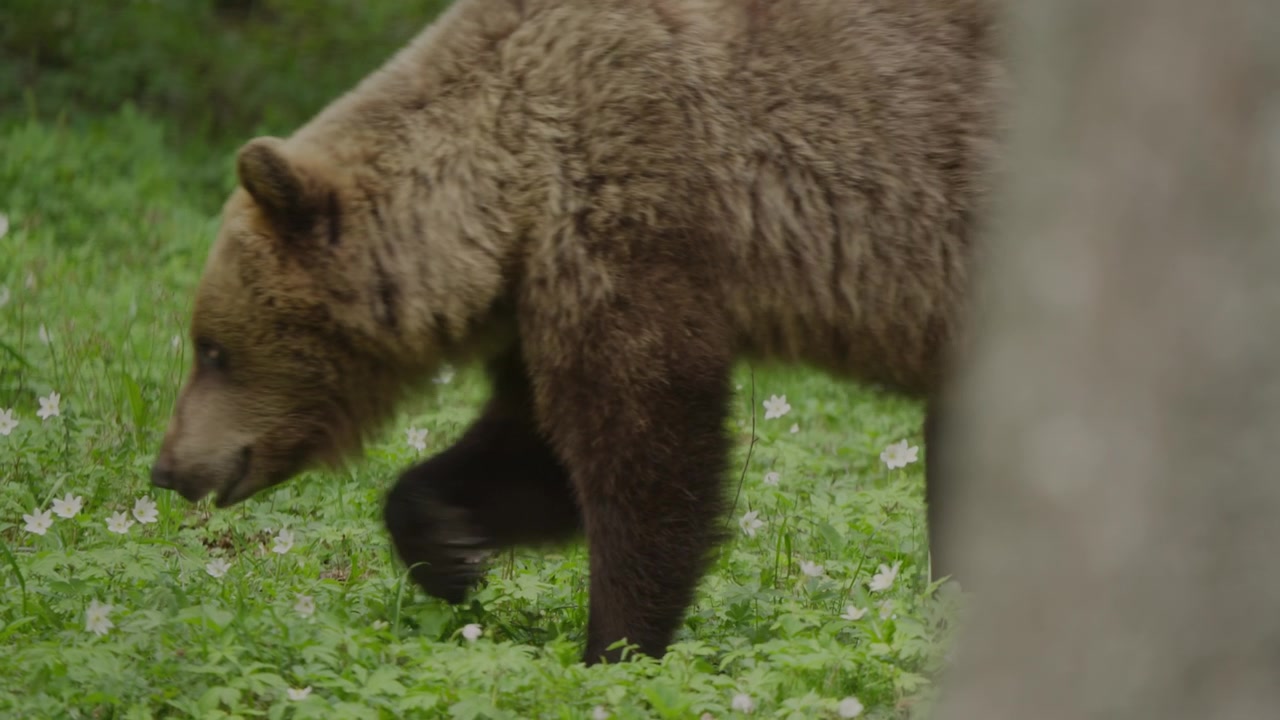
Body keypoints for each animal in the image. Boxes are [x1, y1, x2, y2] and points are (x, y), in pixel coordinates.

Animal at [149, 0, 1005, 665]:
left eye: (213, 348)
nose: (169, 468)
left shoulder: (633, 215)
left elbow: (645, 451)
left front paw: (615, 647)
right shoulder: (539, 292)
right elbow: (530, 453)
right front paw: (452, 554)